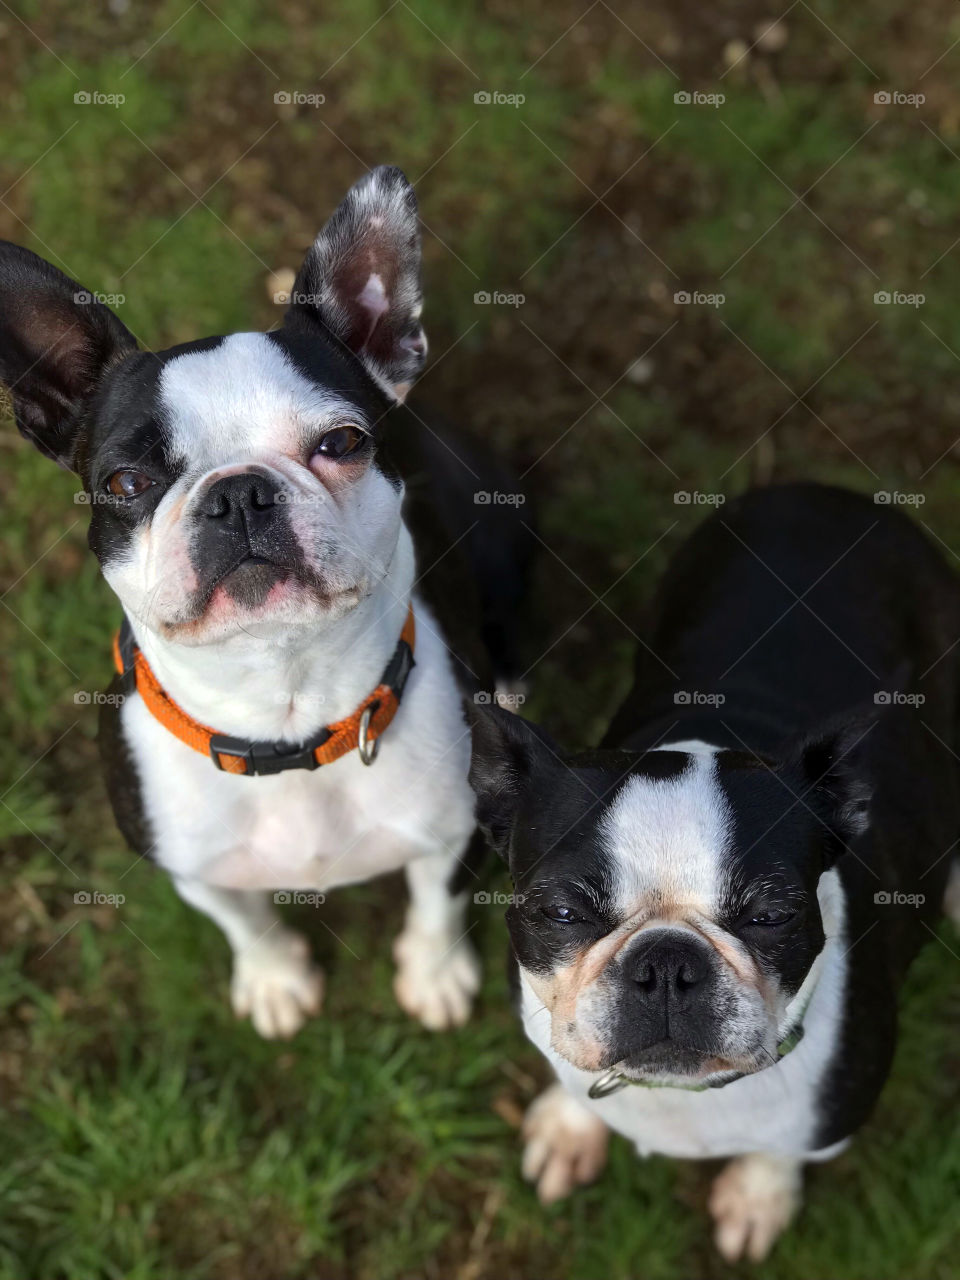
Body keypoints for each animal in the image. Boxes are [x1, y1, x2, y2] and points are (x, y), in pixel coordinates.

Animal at [1, 162, 535, 1039]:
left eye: (343, 442)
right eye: (126, 482)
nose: (237, 494)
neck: (285, 714)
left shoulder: (456, 835)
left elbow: (437, 908)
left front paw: (434, 976)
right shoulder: (193, 866)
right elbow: (245, 922)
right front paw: (277, 980)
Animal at [468, 483, 960, 1264]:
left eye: (770, 915)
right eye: (562, 913)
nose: (667, 963)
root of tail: (828, 493)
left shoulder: (835, 1115)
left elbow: (783, 1151)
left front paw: (760, 1196)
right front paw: (570, 1127)